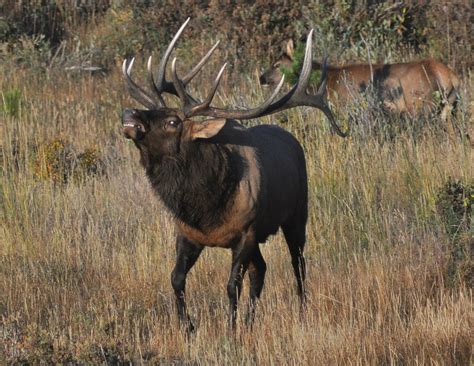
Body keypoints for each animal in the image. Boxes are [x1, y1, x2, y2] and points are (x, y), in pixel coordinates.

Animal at [120, 17, 344, 332]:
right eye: (154, 110)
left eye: (173, 122)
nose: (130, 113)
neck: (205, 207)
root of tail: (291, 138)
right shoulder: (187, 234)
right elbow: (175, 278)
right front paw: (188, 326)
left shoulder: (245, 233)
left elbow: (231, 286)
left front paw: (231, 330)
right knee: (261, 269)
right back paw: (251, 321)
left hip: (297, 214)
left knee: (297, 264)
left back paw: (301, 311)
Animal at [260, 39, 460, 121]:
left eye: (277, 64)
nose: (261, 78)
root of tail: (450, 77)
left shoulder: (343, 107)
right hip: (448, 108)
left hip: (420, 105)